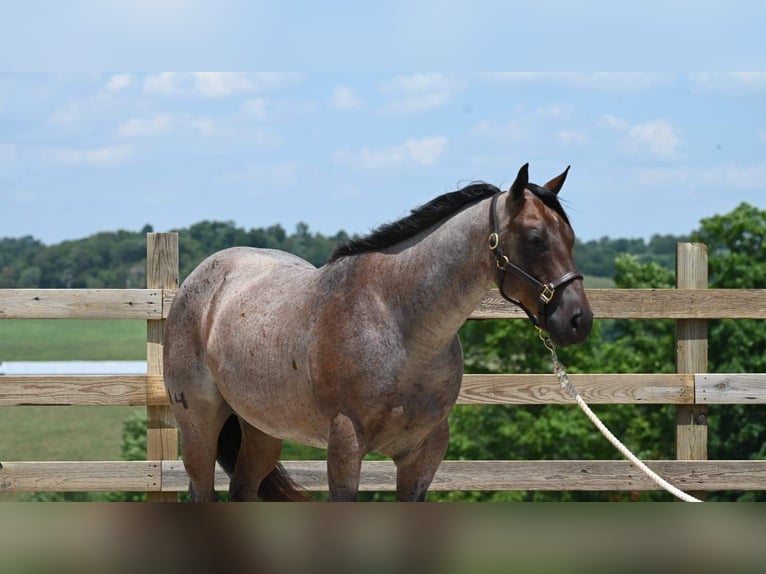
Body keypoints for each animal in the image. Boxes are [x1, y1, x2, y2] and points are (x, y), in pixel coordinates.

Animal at [162, 164, 592, 502]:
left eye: (571, 238)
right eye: (535, 238)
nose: (578, 320)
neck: (400, 325)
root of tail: (201, 277)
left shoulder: (423, 457)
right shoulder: (346, 447)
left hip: (262, 430)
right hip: (199, 426)